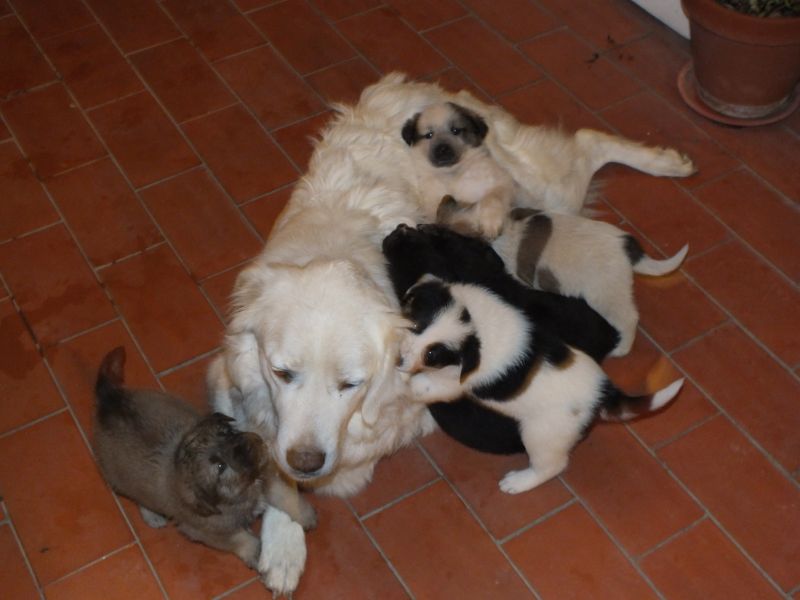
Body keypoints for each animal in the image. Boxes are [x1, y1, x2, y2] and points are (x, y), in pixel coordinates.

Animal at [93, 346, 316, 596]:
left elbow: (285, 495)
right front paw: (256, 551)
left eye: (226, 432)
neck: (246, 488)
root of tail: (112, 400)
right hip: (122, 480)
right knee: (139, 498)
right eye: (220, 467)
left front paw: (305, 514)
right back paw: (153, 516)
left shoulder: (265, 476)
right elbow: (238, 538)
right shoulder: (205, 530)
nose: (251, 444)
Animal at [396, 276, 684, 492]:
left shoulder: (452, 383)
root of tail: (604, 392)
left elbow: (421, 385)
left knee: (552, 466)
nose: (399, 359)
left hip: (540, 436)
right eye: (414, 324)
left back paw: (519, 482)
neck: (477, 325)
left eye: (432, 355)